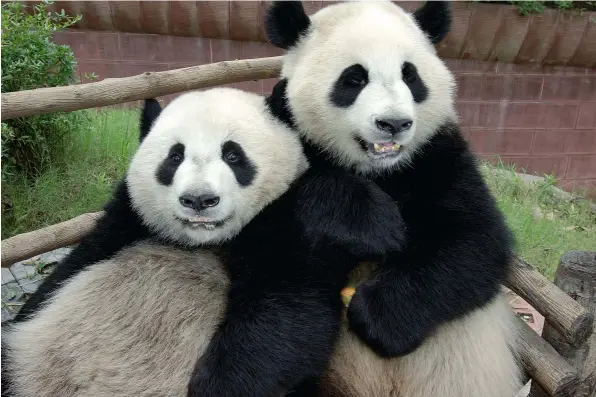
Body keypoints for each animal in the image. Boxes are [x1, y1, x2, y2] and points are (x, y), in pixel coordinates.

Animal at [2, 87, 406, 396]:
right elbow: (68, 270)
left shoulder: (287, 223)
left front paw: (221, 383)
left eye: (233, 154)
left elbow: (288, 314)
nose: (199, 200)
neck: (207, 241)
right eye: (174, 156)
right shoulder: (126, 221)